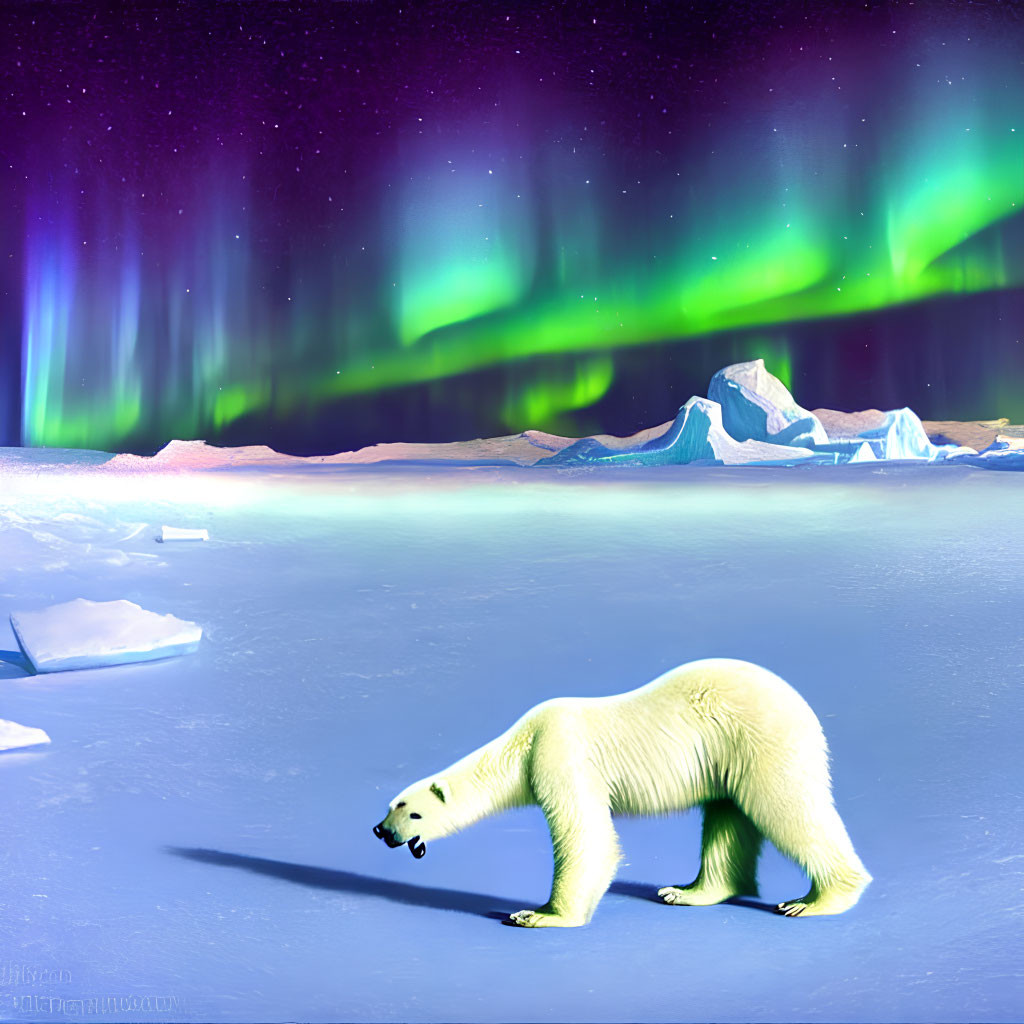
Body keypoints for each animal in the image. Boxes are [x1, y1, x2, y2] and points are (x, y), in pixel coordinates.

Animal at [372, 659, 868, 925]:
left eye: (411, 813)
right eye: (393, 805)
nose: (383, 832)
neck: (523, 743)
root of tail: (800, 703)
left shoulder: (559, 755)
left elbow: (586, 835)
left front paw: (538, 914)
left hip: (761, 741)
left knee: (787, 808)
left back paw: (816, 900)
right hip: (728, 755)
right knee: (726, 818)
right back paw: (687, 891)